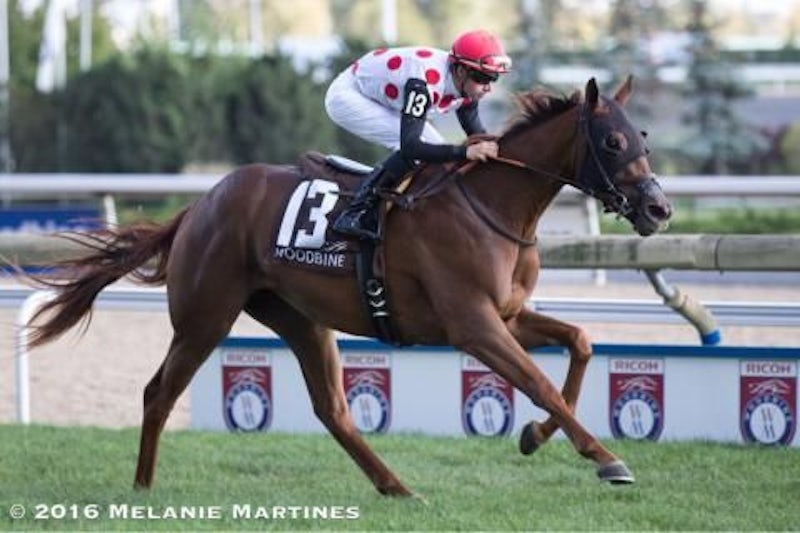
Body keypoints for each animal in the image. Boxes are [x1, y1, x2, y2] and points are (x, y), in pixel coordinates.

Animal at [20, 77, 671, 496]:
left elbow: (580, 343)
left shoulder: (508, 316)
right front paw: (606, 458)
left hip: (301, 319)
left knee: (332, 409)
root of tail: (199, 205)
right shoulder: (474, 325)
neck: (491, 206)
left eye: (643, 136)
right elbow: (538, 382)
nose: (659, 209)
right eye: (613, 142)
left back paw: (397, 487)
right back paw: (143, 488)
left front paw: (534, 437)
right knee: (158, 393)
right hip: (206, 316)